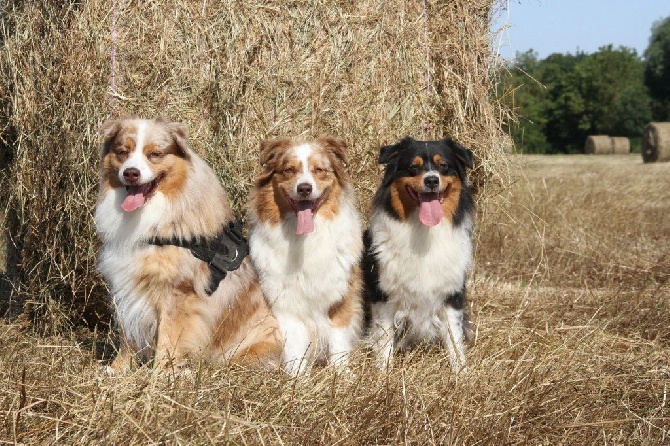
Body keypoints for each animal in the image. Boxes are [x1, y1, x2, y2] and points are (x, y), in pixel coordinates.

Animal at [96, 116, 282, 372]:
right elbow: (128, 333)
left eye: (155, 154)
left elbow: (168, 338)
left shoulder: (178, 293)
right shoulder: (127, 284)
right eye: (123, 152)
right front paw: (117, 369)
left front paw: (160, 374)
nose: (131, 173)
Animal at [248, 137, 364, 376]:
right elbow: (295, 345)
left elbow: (338, 339)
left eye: (319, 170)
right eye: (289, 170)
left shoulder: (341, 297)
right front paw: (298, 377)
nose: (304, 188)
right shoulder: (284, 303)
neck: (306, 240)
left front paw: (342, 374)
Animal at [364, 137, 476, 372]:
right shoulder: (384, 295)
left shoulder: (451, 293)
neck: (424, 230)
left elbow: (454, 340)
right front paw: (383, 373)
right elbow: (385, 340)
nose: (432, 180)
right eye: (413, 167)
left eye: (443, 165)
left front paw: (461, 373)